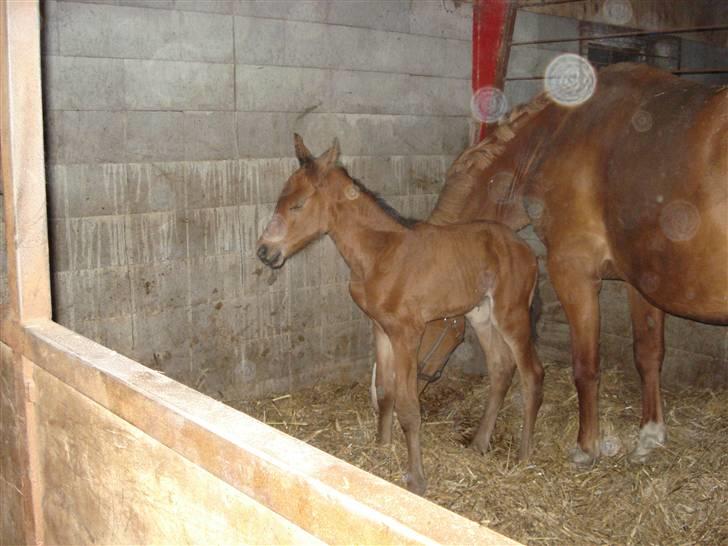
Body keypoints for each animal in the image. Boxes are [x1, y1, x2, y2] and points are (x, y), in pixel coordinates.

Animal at [256, 133, 540, 492]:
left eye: (298, 204)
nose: (264, 252)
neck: (379, 253)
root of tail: (526, 249)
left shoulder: (408, 333)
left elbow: (408, 407)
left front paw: (416, 479)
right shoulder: (381, 328)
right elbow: (385, 391)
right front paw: (381, 446)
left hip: (511, 315)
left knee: (532, 374)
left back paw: (525, 456)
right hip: (482, 316)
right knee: (501, 370)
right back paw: (479, 443)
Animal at [426, 63, 728, 464]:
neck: (555, 138)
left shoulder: (573, 272)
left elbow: (586, 366)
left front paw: (586, 448)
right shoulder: (640, 281)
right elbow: (648, 355)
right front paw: (649, 436)